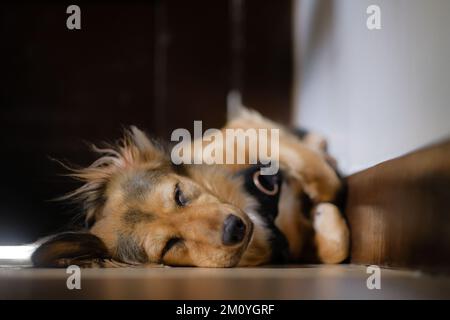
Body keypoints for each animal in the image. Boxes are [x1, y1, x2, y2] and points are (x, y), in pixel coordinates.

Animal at [31, 109, 350, 266]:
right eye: (171, 245)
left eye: (179, 195)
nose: (235, 228)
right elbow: (334, 249)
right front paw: (325, 219)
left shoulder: (244, 129)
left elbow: (327, 181)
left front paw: (324, 204)